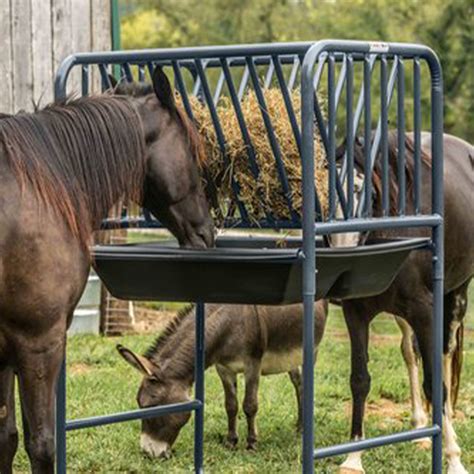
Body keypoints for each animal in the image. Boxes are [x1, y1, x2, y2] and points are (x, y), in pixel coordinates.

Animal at [0, 67, 213, 474]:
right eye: (193, 152)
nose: (208, 233)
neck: (36, 193)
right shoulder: (39, 342)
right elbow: (42, 445)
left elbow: (6, 438)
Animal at [334, 131, 474, 474]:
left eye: (367, 197)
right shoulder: (356, 313)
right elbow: (360, 380)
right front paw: (354, 457)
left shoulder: (425, 312)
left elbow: (436, 382)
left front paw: (453, 458)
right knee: (411, 352)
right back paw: (420, 427)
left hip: (456, 296)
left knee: (444, 355)